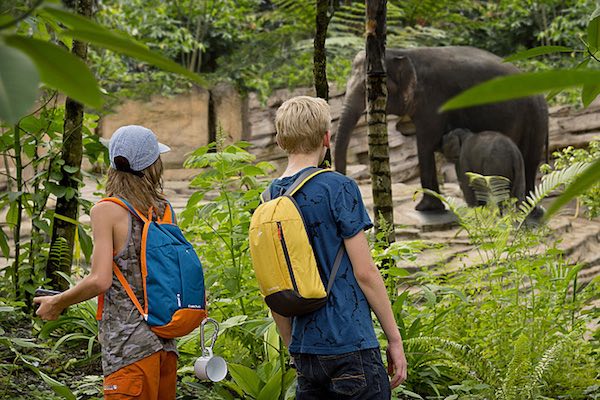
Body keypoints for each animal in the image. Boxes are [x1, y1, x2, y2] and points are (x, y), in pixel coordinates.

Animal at [332, 47, 548, 212]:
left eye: (367, 90)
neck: (404, 53)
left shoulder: (434, 101)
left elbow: (425, 144)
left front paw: (425, 209)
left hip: (535, 118)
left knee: (530, 161)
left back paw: (532, 210)